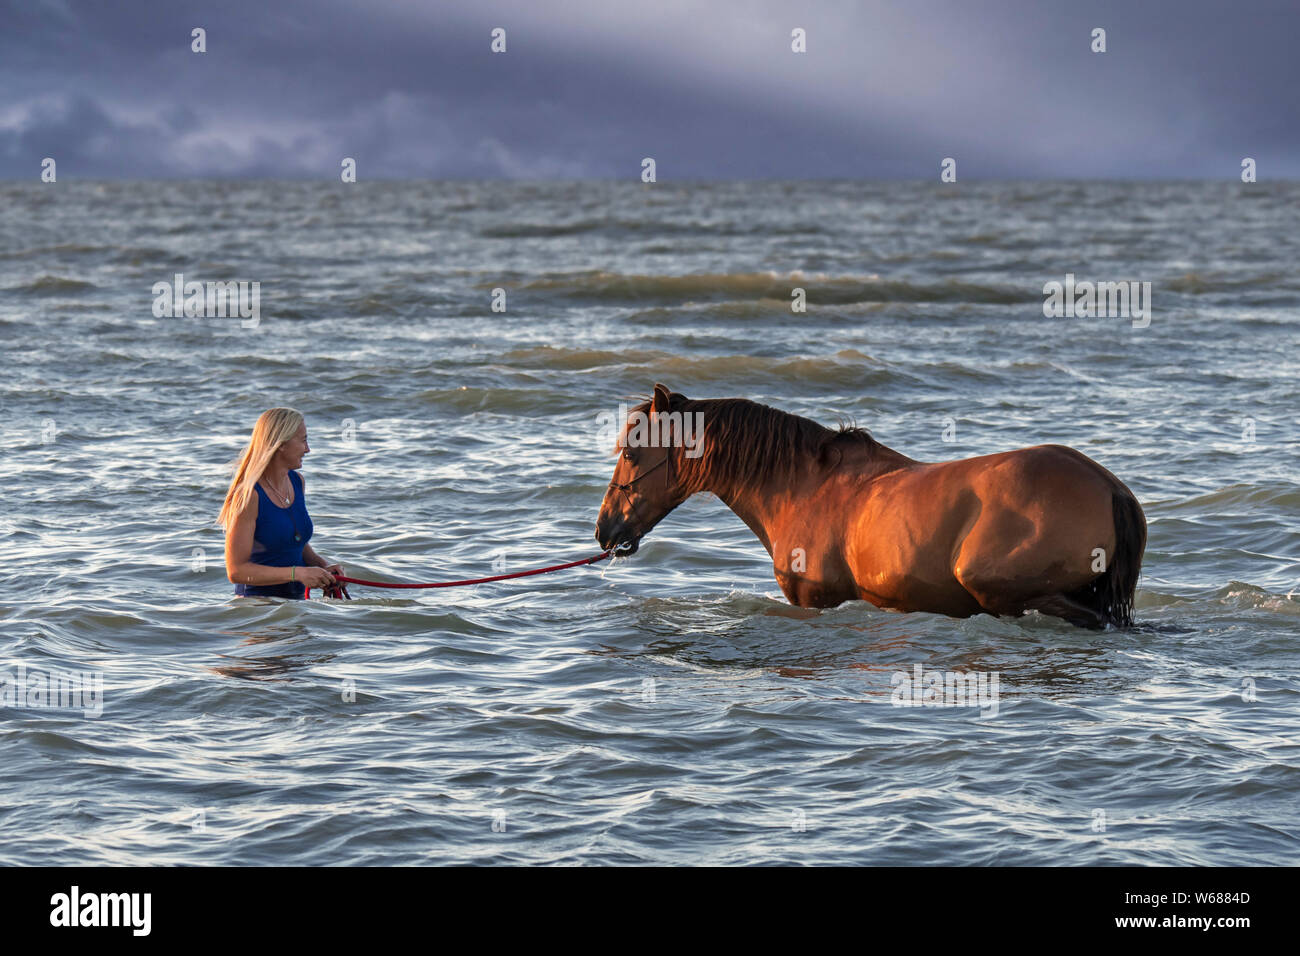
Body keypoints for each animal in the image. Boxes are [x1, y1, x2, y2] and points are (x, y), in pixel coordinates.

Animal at [595, 382, 1144, 629]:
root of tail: (1108, 485)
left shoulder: (814, 600)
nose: (605, 530)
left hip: (994, 587)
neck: (803, 487)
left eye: (630, 453)